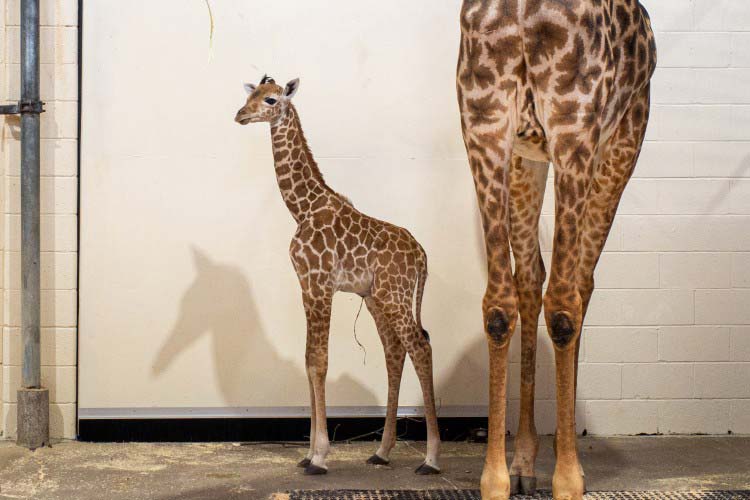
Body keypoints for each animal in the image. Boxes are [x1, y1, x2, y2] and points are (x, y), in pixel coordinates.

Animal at [234, 75, 441, 475]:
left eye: (270, 99)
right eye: (250, 95)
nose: (239, 115)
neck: (303, 208)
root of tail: (423, 256)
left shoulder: (319, 283)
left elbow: (319, 360)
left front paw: (319, 456)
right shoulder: (305, 285)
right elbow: (308, 358)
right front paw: (307, 453)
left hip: (394, 294)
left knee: (420, 346)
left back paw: (431, 458)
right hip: (377, 297)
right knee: (395, 350)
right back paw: (382, 451)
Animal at [456, 1, 656, 499]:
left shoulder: (562, 131)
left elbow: (552, 309)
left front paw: (558, 476)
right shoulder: (493, 125)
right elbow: (517, 307)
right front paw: (515, 478)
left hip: (587, 145)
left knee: (562, 283)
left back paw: (551, 457)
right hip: (540, 154)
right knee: (541, 281)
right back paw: (527, 461)